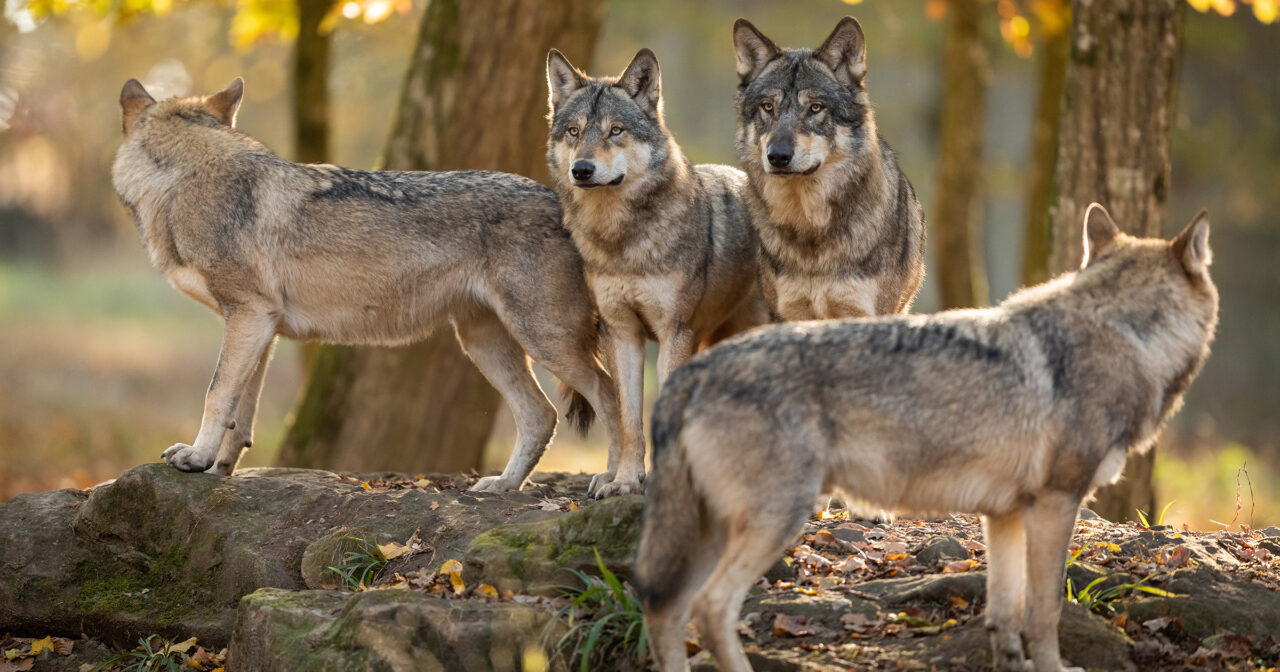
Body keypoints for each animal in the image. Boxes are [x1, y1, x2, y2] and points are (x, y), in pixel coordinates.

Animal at [111, 77, 624, 492]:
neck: (183, 181)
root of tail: (566, 203)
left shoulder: (248, 316)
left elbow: (216, 394)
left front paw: (197, 458)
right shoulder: (261, 327)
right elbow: (242, 412)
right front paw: (221, 468)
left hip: (544, 340)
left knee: (609, 394)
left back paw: (615, 481)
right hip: (485, 344)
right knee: (542, 415)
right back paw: (503, 486)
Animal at [545, 48, 768, 497]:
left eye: (615, 131)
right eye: (574, 132)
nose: (582, 169)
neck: (623, 241)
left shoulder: (672, 333)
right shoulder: (622, 333)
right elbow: (629, 420)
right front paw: (625, 480)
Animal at [635, 204, 1218, 672]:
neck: (1125, 334)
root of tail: (692, 374)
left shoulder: (1005, 515)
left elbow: (1006, 615)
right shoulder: (1056, 504)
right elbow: (1046, 611)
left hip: (712, 532)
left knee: (666, 609)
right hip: (774, 519)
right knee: (711, 609)